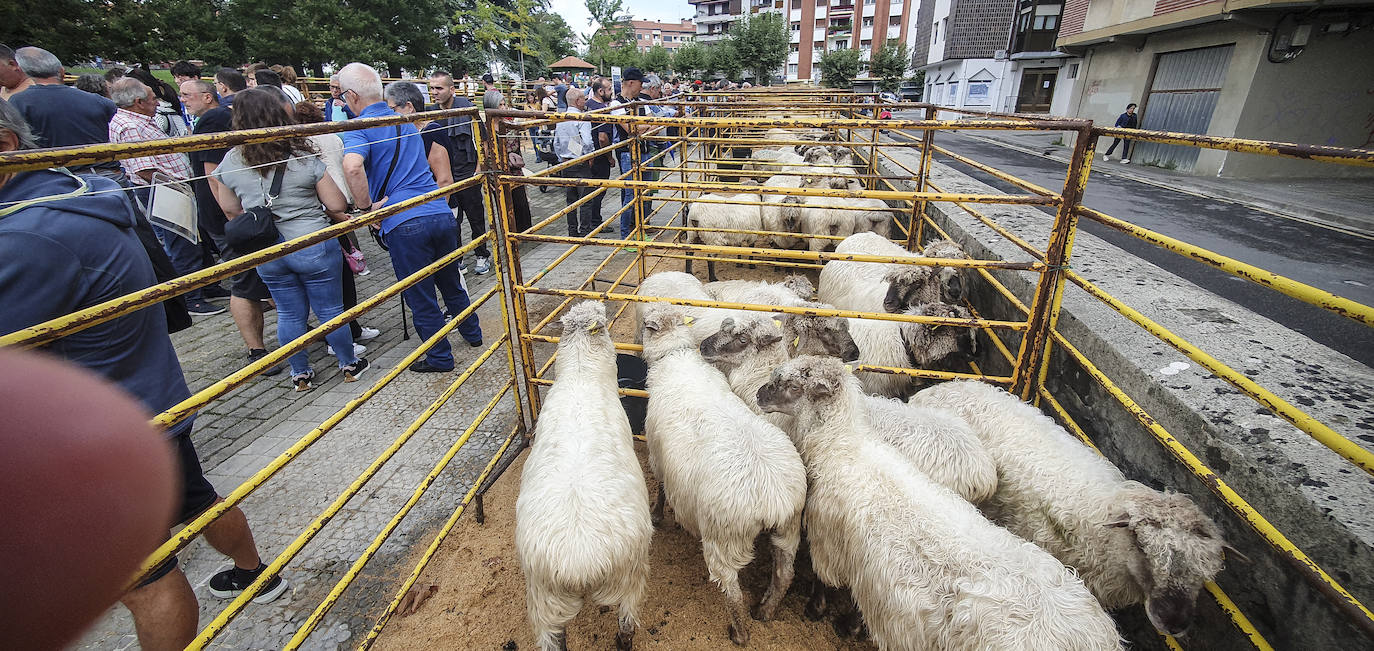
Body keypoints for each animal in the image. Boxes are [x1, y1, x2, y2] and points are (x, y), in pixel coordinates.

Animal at [640, 304, 807, 645]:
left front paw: (657, 515)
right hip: (789, 528)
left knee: (731, 589)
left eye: (742, 338)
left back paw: (740, 632)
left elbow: (661, 487)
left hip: (724, 537)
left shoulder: (656, 453)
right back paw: (765, 612)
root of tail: (772, 498)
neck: (675, 354)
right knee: (784, 574)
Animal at [752, 357, 1126, 651]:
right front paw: (850, 625)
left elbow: (823, 582)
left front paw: (817, 612)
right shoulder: (873, 576)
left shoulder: (828, 542)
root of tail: (1092, 637)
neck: (842, 444)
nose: (758, 394)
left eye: (792, 384)